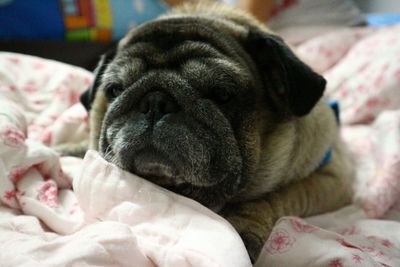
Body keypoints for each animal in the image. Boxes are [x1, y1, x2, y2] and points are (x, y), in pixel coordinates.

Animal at [78, 2, 354, 264]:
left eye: (222, 94)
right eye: (115, 90)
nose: (156, 102)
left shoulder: (330, 179)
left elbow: (270, 198)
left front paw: (243, 228)